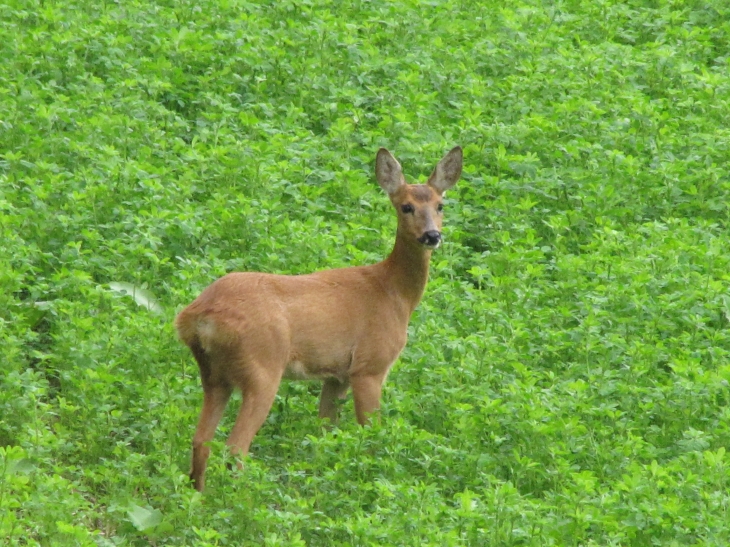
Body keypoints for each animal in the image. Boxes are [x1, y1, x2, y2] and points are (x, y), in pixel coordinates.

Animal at [175, 147, 460, 492]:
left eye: (440, 205)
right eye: (406, 206)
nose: (432, 235)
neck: (394, 293)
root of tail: (199, 317)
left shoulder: (335, 375)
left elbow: (326, 432)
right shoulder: (369, 366)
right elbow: (371, 435)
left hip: (213, 374)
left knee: (200, 440)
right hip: (262, 368)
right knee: (235, 447)